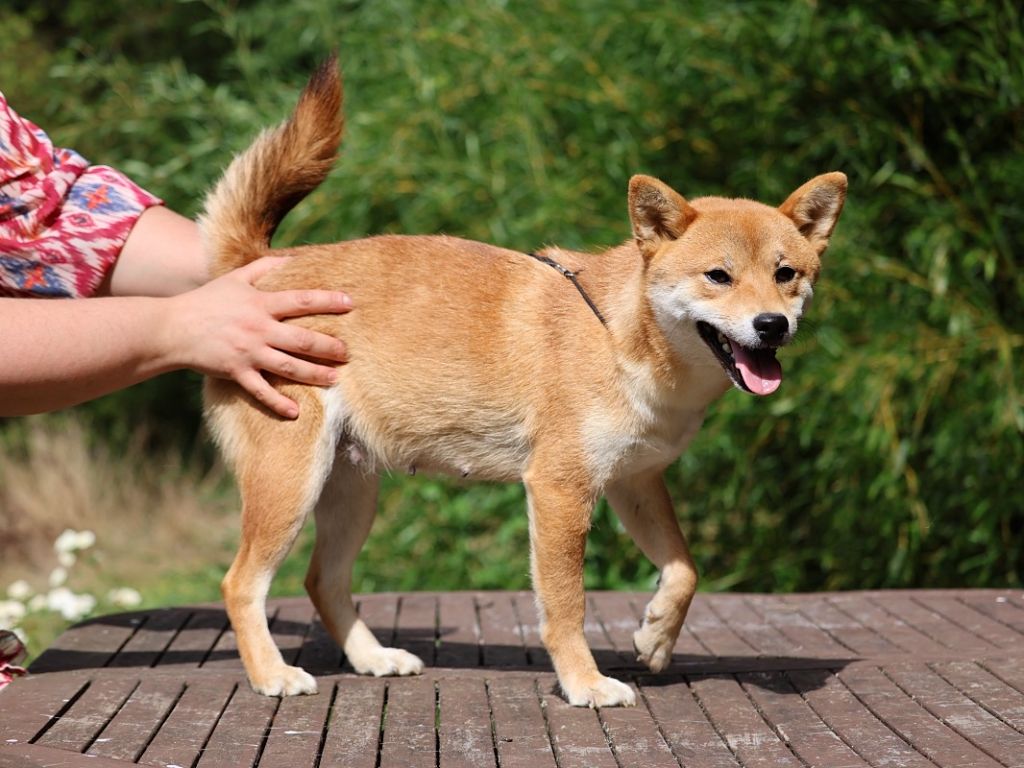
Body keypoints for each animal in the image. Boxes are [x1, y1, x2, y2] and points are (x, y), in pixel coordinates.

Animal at [201, 58, 847, 708]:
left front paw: (656, 637)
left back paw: (374, 657)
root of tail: (260, 271)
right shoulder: (560, 490)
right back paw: (273, 674)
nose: (771, 325)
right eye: (718, 276)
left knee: (322, 581)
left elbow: (685, 571)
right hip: (292, 484)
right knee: (241, 584)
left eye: (786, 274)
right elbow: (566, 608)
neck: (617, 337)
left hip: (351, 493)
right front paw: (586, 682)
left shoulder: (634, 481)